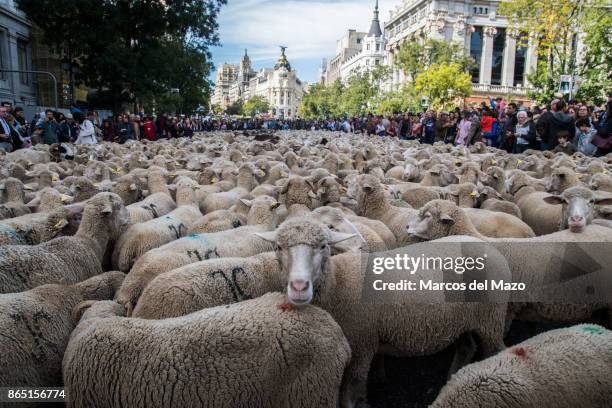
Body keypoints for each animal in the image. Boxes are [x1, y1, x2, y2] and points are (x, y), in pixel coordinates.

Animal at [256, 218, 510, 408]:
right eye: (278, 247)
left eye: (323, 246)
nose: (299, 287)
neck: (338, 282)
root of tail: (491, 248)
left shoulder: (361, 346)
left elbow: (350, 395)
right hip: (464, 320)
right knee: (466, 347)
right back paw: (452, 377)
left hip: (491, 319)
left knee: (496, 350)